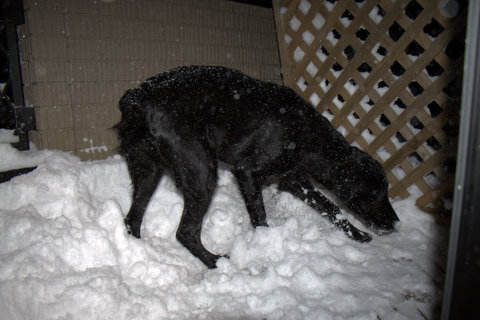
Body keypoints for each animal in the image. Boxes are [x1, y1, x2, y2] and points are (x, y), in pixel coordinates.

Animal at [114, 66, 400, 268]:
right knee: (185, 232)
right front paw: (266, 246)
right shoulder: (247, 172)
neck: (308, 135)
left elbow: (332, 209)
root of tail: (136, 98)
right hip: (202, 171)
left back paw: (139, 254)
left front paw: (358, 234)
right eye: (375, 194)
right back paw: (215, 262)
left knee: (132, 219)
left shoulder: (294, 181)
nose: (396, 223)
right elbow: (260, 217)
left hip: (148, 170)